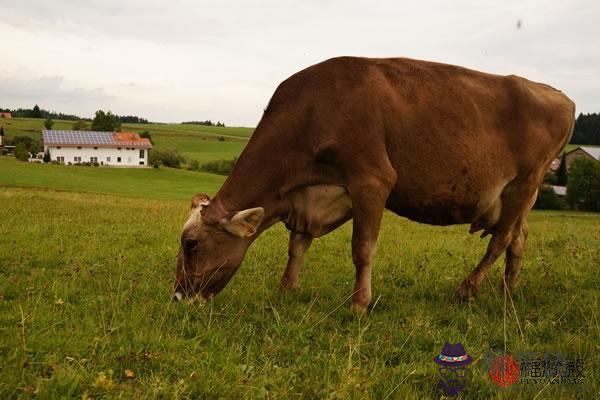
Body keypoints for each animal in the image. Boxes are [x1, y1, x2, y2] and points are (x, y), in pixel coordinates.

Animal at [173, 56, 576, 312]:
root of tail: (558, 94)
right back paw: (508, 293)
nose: (178, 298)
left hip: (524, 182)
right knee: (518, 239)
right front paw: (286, 289)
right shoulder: (309, 196)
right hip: (517, 197)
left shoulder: (372, 179)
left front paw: (359, 304)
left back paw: (467, 289)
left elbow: (362, 249)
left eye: (191, 244)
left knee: (501, 240)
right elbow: (297, 246)